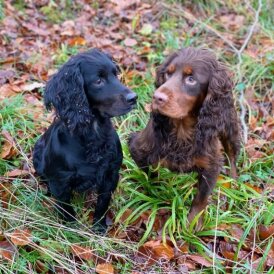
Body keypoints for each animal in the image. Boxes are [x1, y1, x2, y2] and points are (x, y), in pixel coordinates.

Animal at [33, 49, 136, 231]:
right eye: (98, 81)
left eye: (116, 74)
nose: (134, 97)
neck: (93, 134)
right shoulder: (60, 181)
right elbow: (66, 207)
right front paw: (71, 228)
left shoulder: (110, 174)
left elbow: (102, 203)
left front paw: (99, 227)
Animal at [128, 47, 240, 227]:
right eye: (168, 73)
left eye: (191, 79)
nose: (157, 97)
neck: (182, 130)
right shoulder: (138, 148)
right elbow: (150, 176)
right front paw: (158, 193)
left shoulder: (211, 165)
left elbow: (201, 198)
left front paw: (192, 225)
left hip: (229, 127)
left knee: (232, 156)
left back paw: (233, 183)